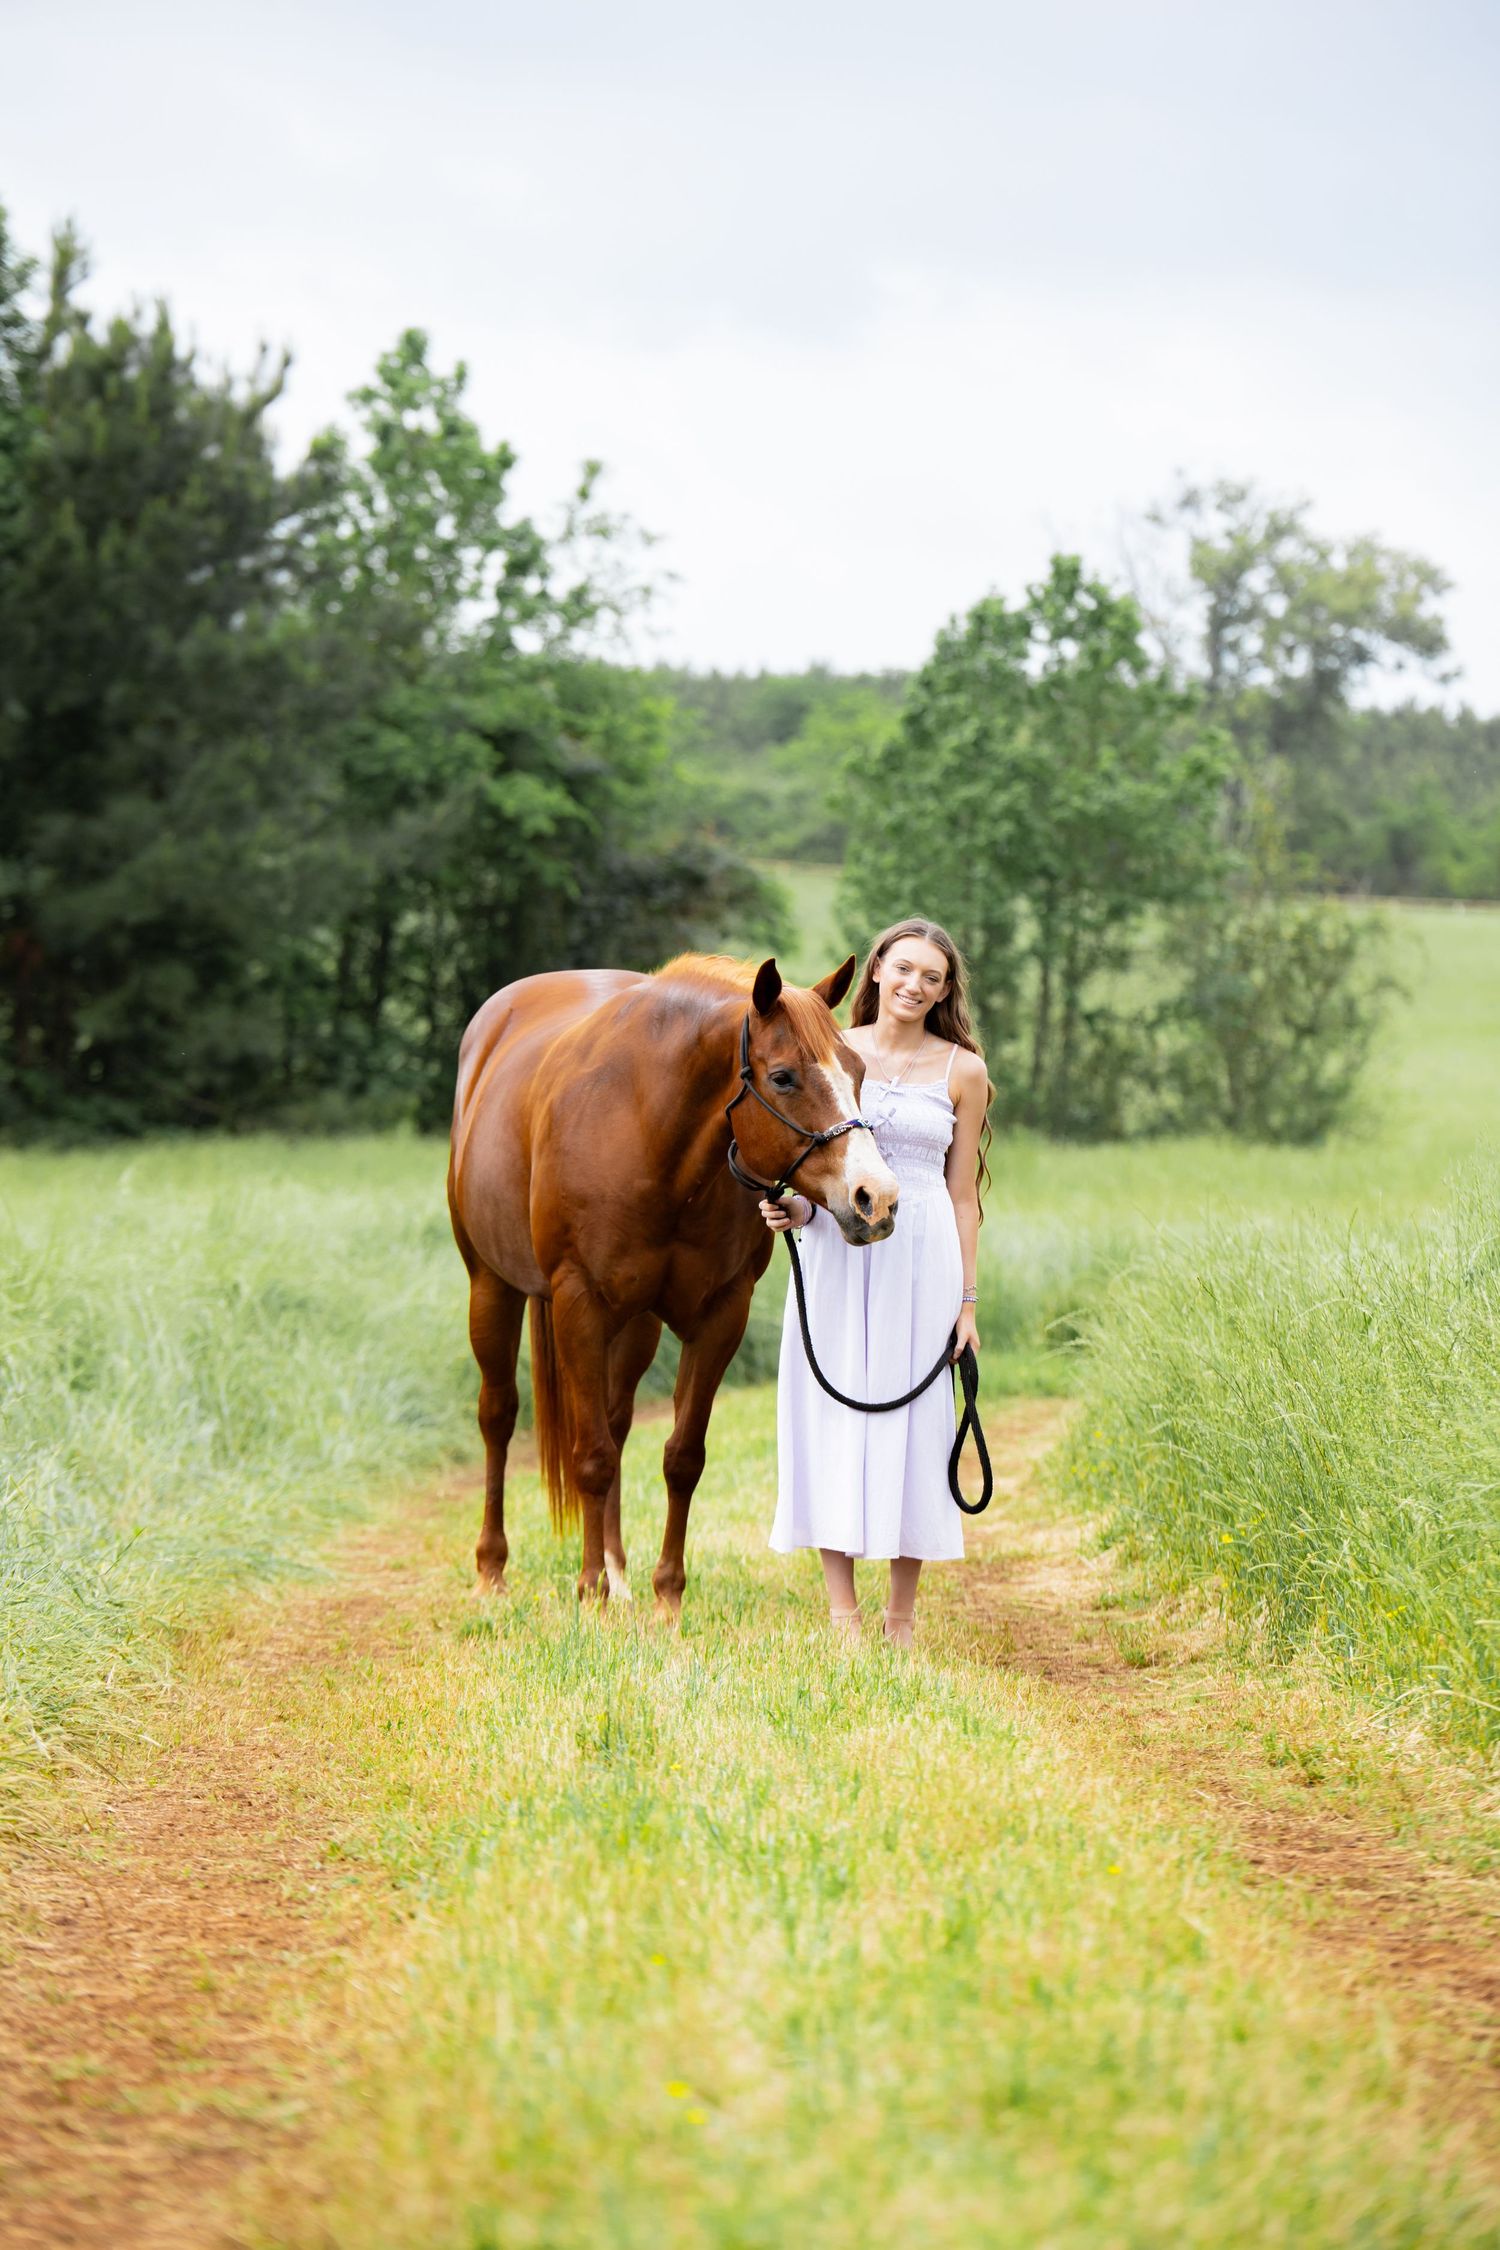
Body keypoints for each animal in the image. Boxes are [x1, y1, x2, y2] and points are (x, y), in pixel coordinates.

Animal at [446, 950, 900, 1618]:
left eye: (859, 1069)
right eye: (784, 1077)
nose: (876, 1199)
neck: (648, 1130)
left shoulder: (720, 1316)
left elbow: (681, 1457)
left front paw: (666, 1598)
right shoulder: (578, 1305)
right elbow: (590, 1457)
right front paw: (587, 1592)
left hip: (635, 1326)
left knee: (615, 1422)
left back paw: (619, 1573)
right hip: (491, 1286)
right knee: (499, 1417)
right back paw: (492, 1570)